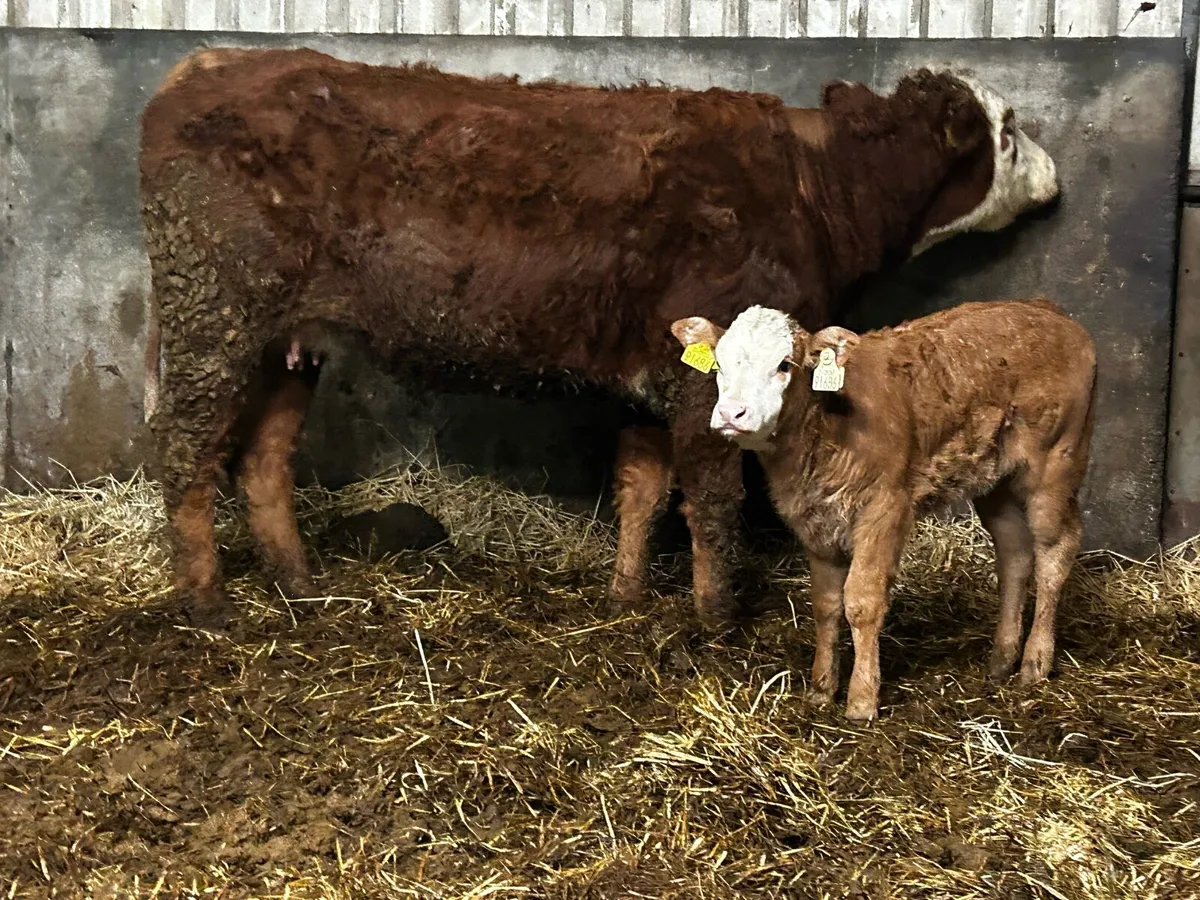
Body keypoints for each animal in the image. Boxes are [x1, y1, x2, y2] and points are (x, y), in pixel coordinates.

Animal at [139, 47, 1059, 628]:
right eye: (1010, 129)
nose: (1055, 178)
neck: (813, 184)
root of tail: (199, 67)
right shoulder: (704, 379)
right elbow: (713, 499)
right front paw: (716, 619)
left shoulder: (656, 372)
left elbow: (642, 488)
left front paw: (626, 596)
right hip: (212, 318)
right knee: (184, 451)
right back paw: (208, 602)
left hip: (290, 341)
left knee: (261, 459)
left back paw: (299, 587)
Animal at [668, 299, 1096, 720]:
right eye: (719, 364)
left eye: (784, 364)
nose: (732, 413)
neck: (827, 424)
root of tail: (1050, 311)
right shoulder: (813, 519)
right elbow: (825, 604)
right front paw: (821, 690)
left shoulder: (885, 507)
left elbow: (861, 601)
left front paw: (861, 701)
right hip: (995, 478)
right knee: (1014, 553)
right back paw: (1001, 659)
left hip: (1057, 462)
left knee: (1055, 549)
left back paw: (1035, 663)